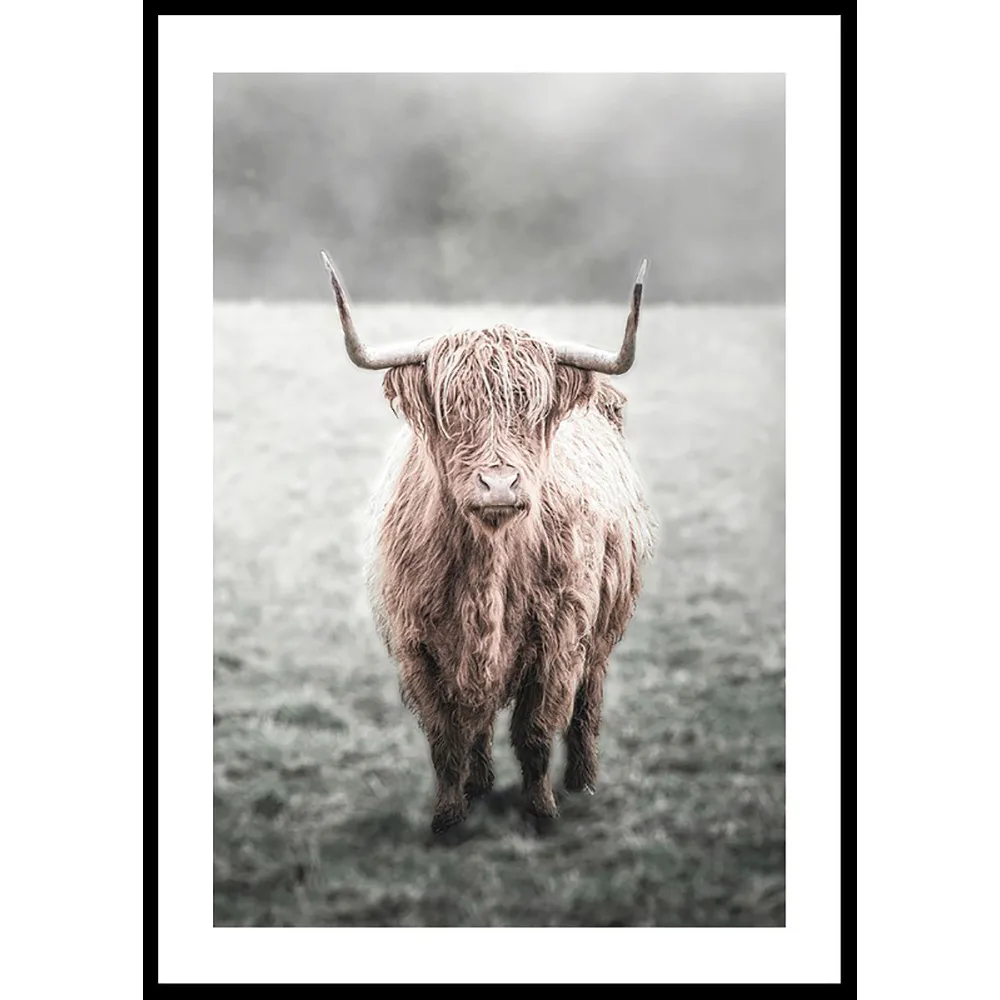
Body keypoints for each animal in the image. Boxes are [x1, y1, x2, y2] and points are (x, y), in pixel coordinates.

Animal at [321, 251, 656, 834]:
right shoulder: (418, 647)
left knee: (587, 706)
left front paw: (541, 811)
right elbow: (445, 739)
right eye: (453, 409)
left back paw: (583, 783)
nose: (499, 484)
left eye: (532, 410)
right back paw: (479, 785)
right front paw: (448, 817)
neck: (489, 564)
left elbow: (536, 733)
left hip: (601, 634)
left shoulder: (561, 640)